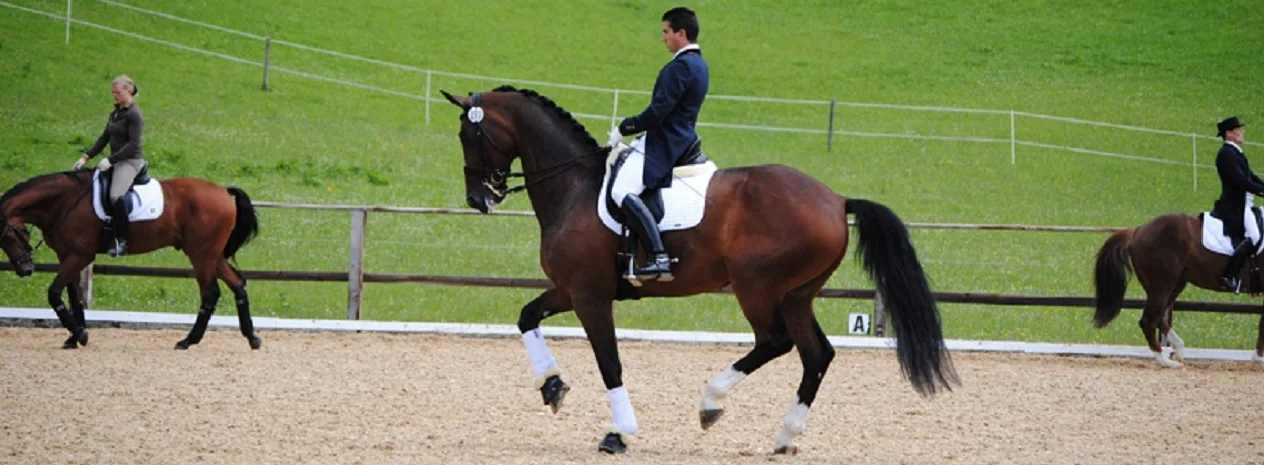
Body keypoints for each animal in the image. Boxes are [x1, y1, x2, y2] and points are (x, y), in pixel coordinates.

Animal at [0, 169, 262, 350]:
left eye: (8, 236)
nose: (25, 269)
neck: (65, 202)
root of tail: (223, 191)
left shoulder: (79, 255)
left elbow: (54, 293)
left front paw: (80, 335)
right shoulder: (68, 256)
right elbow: (74, 297)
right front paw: (75, 337)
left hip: (201, 254)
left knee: (210, 293)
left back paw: (188, 341)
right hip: (210, 254)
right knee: (237, 284)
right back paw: (252, 338)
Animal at [440, 86, 957, 455]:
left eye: (468, 135)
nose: (479, 199)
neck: (574, 188)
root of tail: (835, 199)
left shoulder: (590, 296)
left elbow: (609, 362)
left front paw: (619, 432)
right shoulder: (569, 289)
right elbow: (526, 316)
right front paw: (551, 386)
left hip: (756, 286)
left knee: (775, 342)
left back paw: (711, 402)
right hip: (796, 294)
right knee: (816, 354)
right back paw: (785, 437)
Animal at [1094, 212, 1264, 368]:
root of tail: (1138, 230)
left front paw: (1259, 357)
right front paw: (1259, 359)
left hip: (1175, 284)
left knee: (1158, 318)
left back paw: (1178, 347)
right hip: (1162, 286)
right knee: (1148, 320)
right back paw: (1166, 361)